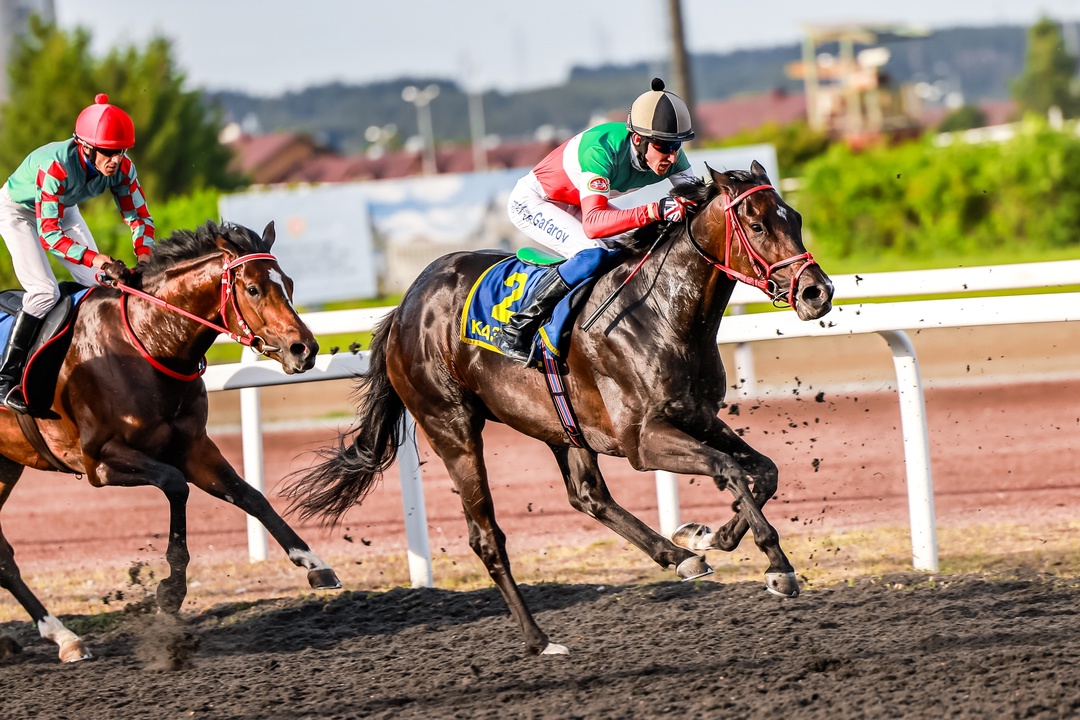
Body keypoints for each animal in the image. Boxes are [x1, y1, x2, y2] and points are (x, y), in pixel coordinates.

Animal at [0, 221, 341, 664]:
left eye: (290, 284)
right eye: (252, 289)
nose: (305, 349)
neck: (147, 343)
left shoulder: (195, 447)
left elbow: (252, 497)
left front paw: (314, 563)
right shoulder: (101, 462)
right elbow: (175, 485)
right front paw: (170, 592)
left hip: (5, 467)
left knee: (2, 558)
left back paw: (63, 637)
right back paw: (61, 635)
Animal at [287, 165, 833, 660]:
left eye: (795, 218)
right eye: (757, 224)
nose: (818, 292)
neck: (662, 313)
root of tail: (403, 309)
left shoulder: (696, 416)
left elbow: (763, 470)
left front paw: (710, 535)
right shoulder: (643, 439)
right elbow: (728, 469)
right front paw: (777, 566)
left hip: (560, 425)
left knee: (589, 496)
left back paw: (678, 556)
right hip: (452, 428)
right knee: (487, 537)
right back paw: (538, 639)